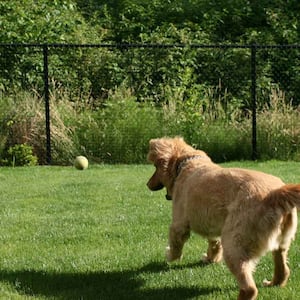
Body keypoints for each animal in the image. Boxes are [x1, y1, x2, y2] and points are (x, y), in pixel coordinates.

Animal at [146, 138, 300, 300]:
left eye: (155, 167)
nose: (147, 184)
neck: (186, 163)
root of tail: (276, 194)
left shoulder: (178, 225)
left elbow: (176, 246)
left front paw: (170, 256)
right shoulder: (213, 226)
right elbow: (214, 244)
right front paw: (210, 258)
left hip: (235, 244)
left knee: (250, 288)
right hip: (281, 243)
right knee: (283, 269)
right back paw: (273, 283)